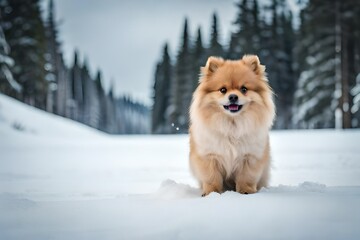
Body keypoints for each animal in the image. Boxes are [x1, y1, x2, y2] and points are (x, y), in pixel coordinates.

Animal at [190, 55, 274, 196]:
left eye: (244, 89)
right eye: (223, 90)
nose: (233, 96)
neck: (232, 124)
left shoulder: (249, 157)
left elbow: (246, 177)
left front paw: (246, 191)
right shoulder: (210, 157)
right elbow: (212, 178)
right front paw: (211, 193)